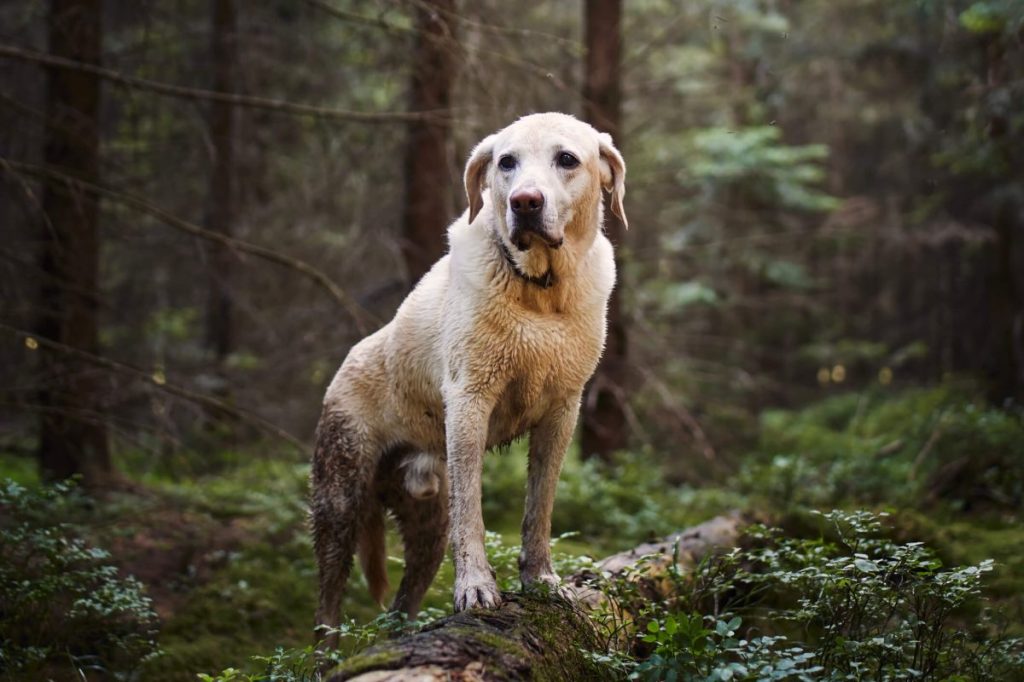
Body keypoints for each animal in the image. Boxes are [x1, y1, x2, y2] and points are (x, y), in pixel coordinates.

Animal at [307, 110, 622, 643]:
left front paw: (541, 581)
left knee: (403, 603)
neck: (540, 292)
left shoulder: (563, 412)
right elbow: (471, 512)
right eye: (506, 162)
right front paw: (476, 589)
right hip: (340, 500)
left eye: (567, 159)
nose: (524, 202)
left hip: (425, 528)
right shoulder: (470, 403)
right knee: (327, 604)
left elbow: (540, 507)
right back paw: (327, 652)